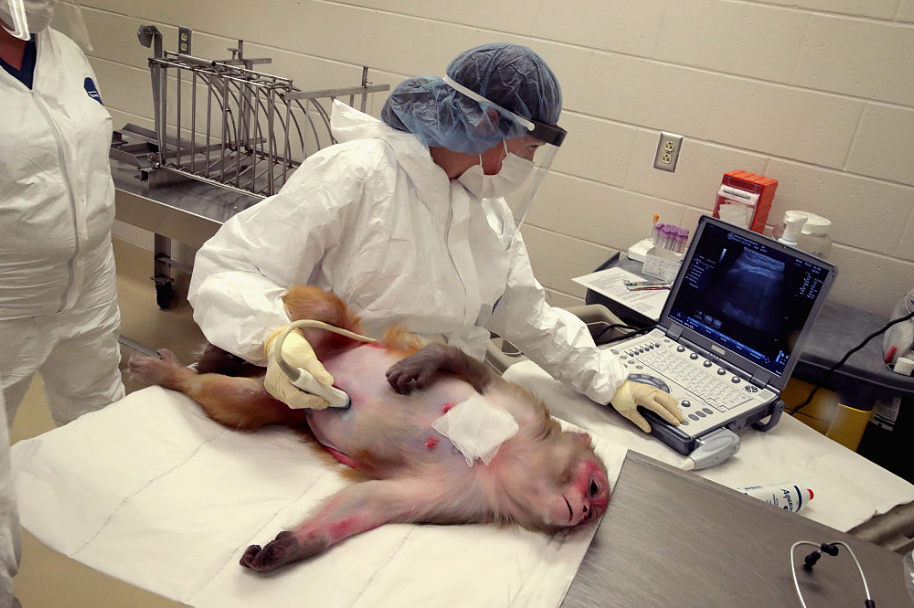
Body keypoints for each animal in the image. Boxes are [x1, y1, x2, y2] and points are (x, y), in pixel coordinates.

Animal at [128, 288, 608, 572]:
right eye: (595, 488)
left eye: (591, 512)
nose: (585, 511)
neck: (502, 460)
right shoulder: (519, 415)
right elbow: (473, 372)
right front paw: (426, 362)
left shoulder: (468, 500)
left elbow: (373, 502)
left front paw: (293, 546)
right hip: (334, 336)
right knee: (312, 315)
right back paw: (200, 361)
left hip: (286, 403)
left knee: (242, 399)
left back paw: (206, 368)